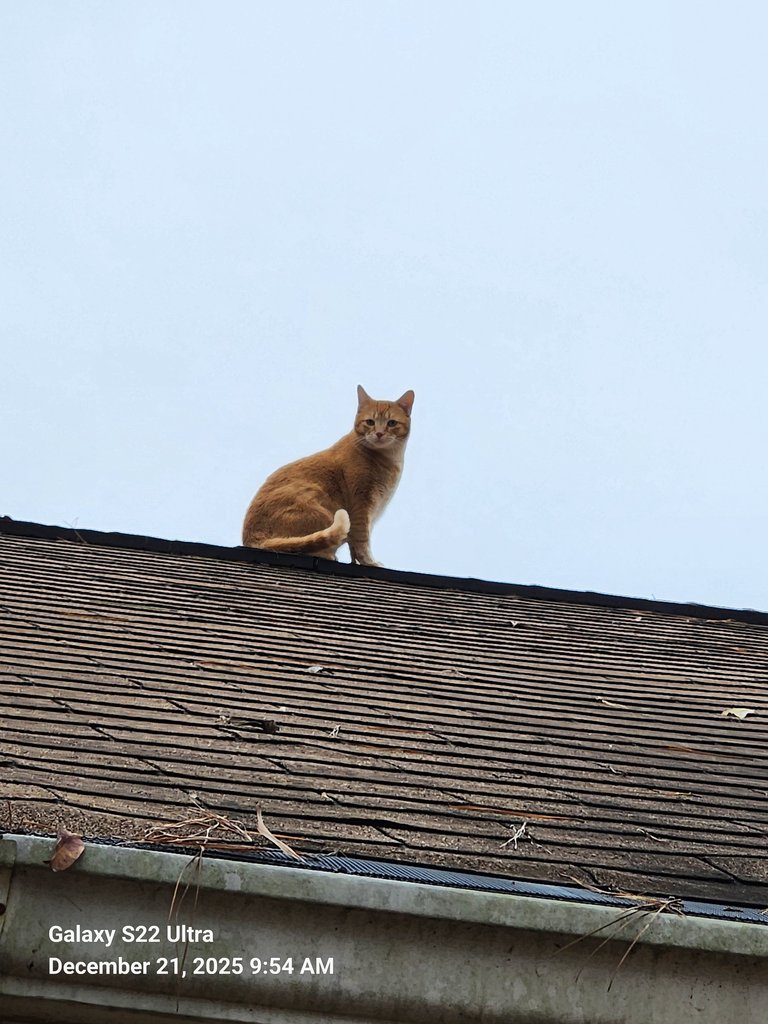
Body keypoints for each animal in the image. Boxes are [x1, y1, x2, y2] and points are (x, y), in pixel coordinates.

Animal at [242, 385, 414, 566]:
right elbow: (362, 542)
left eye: (391, 423)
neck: (389, 458)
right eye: (370, 422)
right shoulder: (361, 507)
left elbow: (354, 548)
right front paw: (370, 563)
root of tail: (252, 539)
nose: (379, 433)